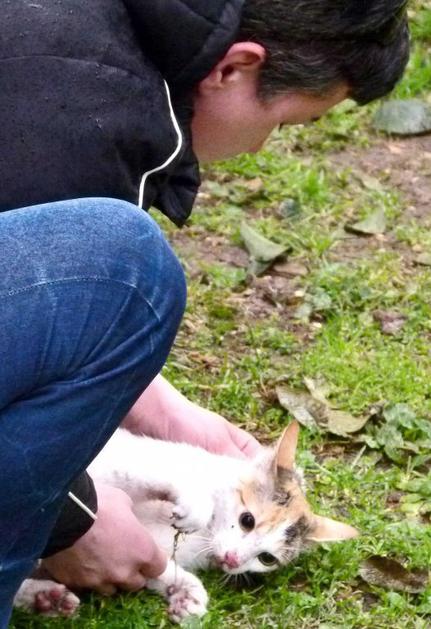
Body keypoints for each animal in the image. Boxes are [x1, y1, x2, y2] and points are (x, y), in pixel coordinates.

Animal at [14, 422, 358, 623]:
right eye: (247, 520)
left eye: (266, 559)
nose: (233, 560)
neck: (203, 538)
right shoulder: (120, 462)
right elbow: (162, 472)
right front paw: (195, 504)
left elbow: (156, 566)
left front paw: (186, 591)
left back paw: (45, 599)